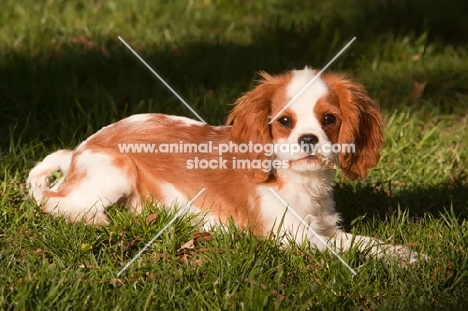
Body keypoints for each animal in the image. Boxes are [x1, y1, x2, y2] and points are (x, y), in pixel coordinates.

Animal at [25, 67, 420, 264]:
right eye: (284, 121)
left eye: (329, 119)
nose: (309, 138)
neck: (297, 179)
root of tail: (76, 152)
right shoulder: (288, 235)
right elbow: (346, 249)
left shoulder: (322, 226)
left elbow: (363, 241)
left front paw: (405, 254)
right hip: (115, 170)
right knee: (54, 203)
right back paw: (100, 221)